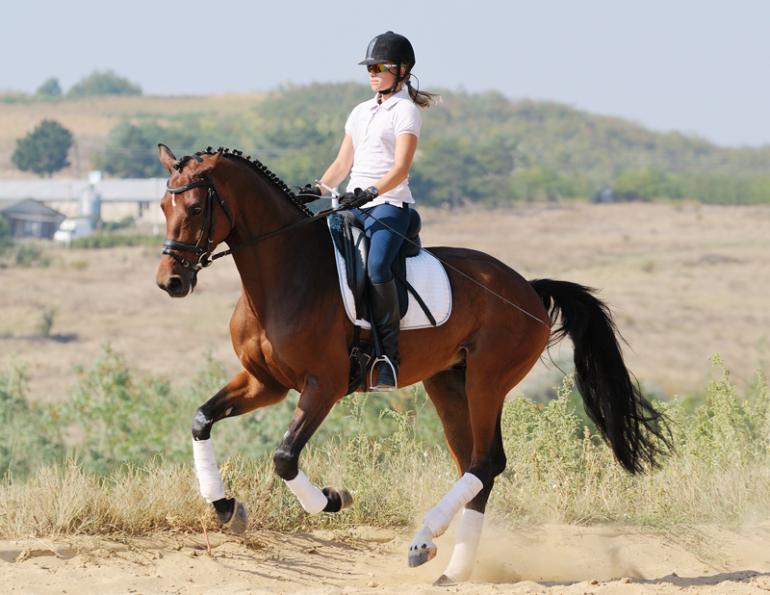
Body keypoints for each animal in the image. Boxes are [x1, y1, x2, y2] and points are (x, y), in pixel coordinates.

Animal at [155, 144, 670, 585]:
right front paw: (226, 507)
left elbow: (284, 457)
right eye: (162, 206)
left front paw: (332, 500)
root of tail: (527, 287)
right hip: (448, 383)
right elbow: (202, 419)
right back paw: (453, 567)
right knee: (475, 466)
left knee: (487, 462)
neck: (286, 275)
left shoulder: (323, 385)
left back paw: (425, 542)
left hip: (487, 382)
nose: (170, 282)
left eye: (196, 209)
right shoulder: (265, 383)